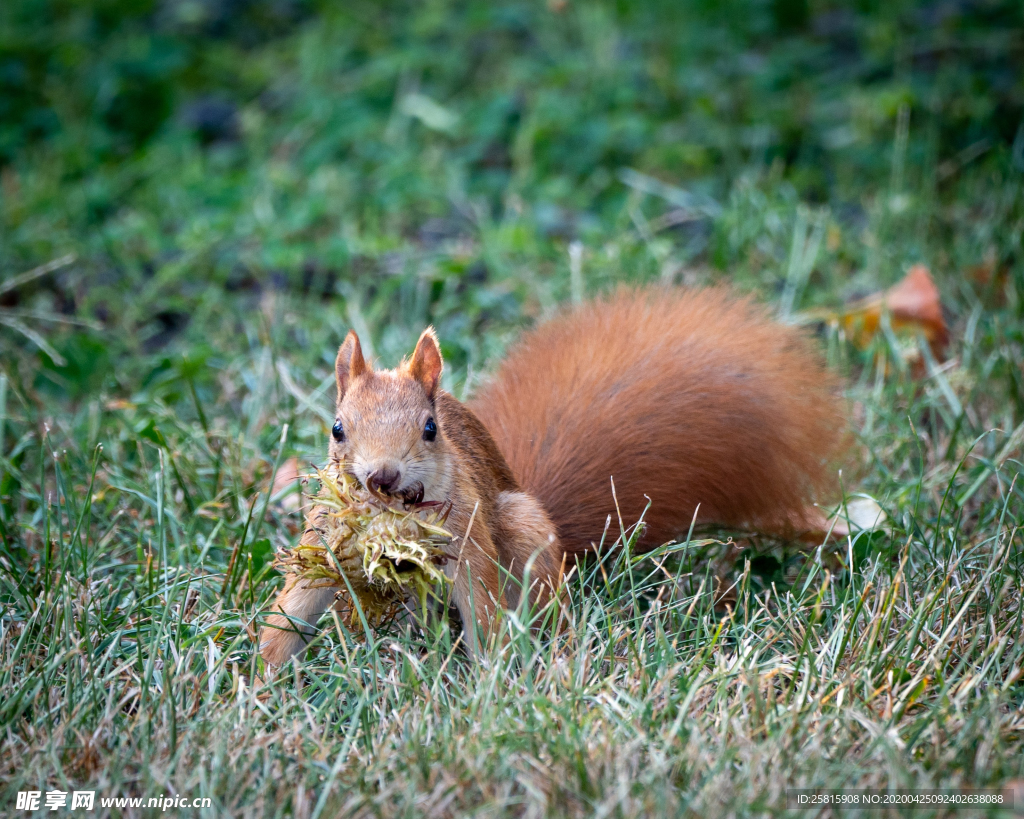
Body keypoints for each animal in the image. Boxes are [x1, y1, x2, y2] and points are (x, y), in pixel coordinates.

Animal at [260, 286, 843, 663]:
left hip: (525, 532)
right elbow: (293, 608)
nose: (381, 477)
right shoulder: (323, 537)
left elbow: (483, 611)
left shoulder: (468, 538)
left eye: (430, 429)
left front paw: (489, 687)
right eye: (337, 429)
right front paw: (262, 685)